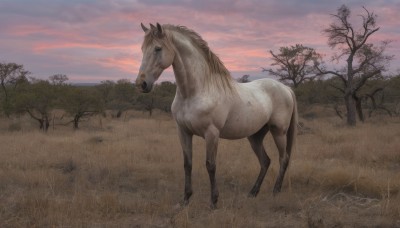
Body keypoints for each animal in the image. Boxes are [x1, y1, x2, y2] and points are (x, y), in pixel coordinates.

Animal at [136, 22, 296, 208]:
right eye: (142, 49)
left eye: (157, 48)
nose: (141, 84)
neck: (196, 91)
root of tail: (286, 88)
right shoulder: (183, 132)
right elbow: (187, 164)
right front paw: (185, 199)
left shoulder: (211, 133)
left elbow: (210, 165)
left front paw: (213, 202)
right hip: (255, 136)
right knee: (265, 161)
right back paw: (252, 193)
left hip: (279, 132)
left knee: (283, 159)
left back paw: (275, 191)